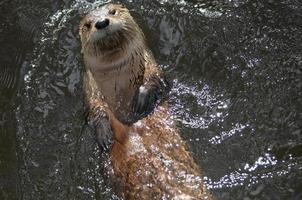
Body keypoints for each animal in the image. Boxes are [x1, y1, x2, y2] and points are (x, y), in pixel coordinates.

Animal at [79, 3, 214, 200]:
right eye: (88, 25)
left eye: (112, 11)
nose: (102, 22)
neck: (119, 82)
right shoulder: (90, 87)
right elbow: (94, 110)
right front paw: (104, 135)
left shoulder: (151, 65)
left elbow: (158, 81)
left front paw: (141, 98)